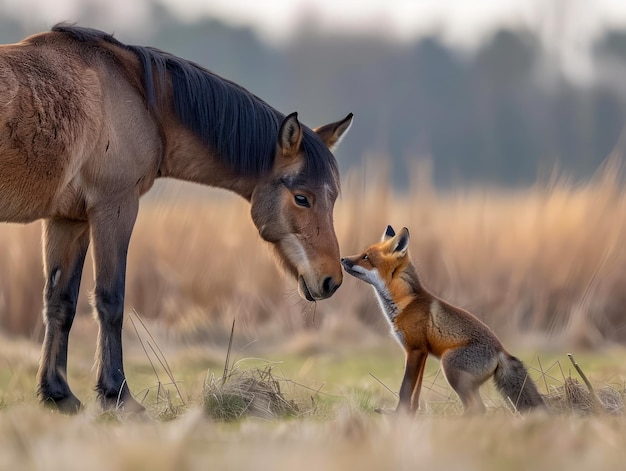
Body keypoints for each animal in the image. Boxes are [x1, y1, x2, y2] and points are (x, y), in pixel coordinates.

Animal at [0, 24, 352, 414]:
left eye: (333, 197)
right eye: (302, 198)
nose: (331, 280)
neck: (137, 95)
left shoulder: (68, 219)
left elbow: (60, 301)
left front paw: (58, 394)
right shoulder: (114, 207)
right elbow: (111, 300)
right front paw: (118, 394)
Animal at [338, 227, 544, 414]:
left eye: (365, 257)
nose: (342, 259)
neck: (404, 303)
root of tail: (502, 351)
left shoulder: (414, 349)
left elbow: (405, 389)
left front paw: (399, 416)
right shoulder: (422, 352)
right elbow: (416, 393)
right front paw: (411, 415)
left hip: (450, 366)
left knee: (477, 408)